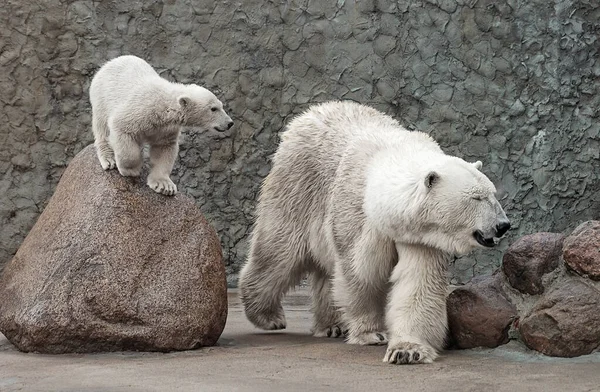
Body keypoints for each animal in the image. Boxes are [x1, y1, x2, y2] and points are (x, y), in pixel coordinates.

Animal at [90, 54, 233, 195]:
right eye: (214, 109)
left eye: (221, 105)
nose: (230, 123)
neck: (165, 106)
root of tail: (110, 62)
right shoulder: (139, 111)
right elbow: (122, 128)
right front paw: (130, 169)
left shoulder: (165, 129)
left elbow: (163, 149)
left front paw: (164, 186)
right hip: (102, 96)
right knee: (102, 127)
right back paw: (108, 159)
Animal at [239, 101, 510, 364]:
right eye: (476, 198)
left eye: (493, 194)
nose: (503, 225)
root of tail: (306, 115)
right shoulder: (357, 214)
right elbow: (361, 273)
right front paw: (371, 333)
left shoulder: (420, 236)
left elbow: (418, 282)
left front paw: (407, 351)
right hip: (296, 188)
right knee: (280, 251)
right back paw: (268, 315)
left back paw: (331, 325)